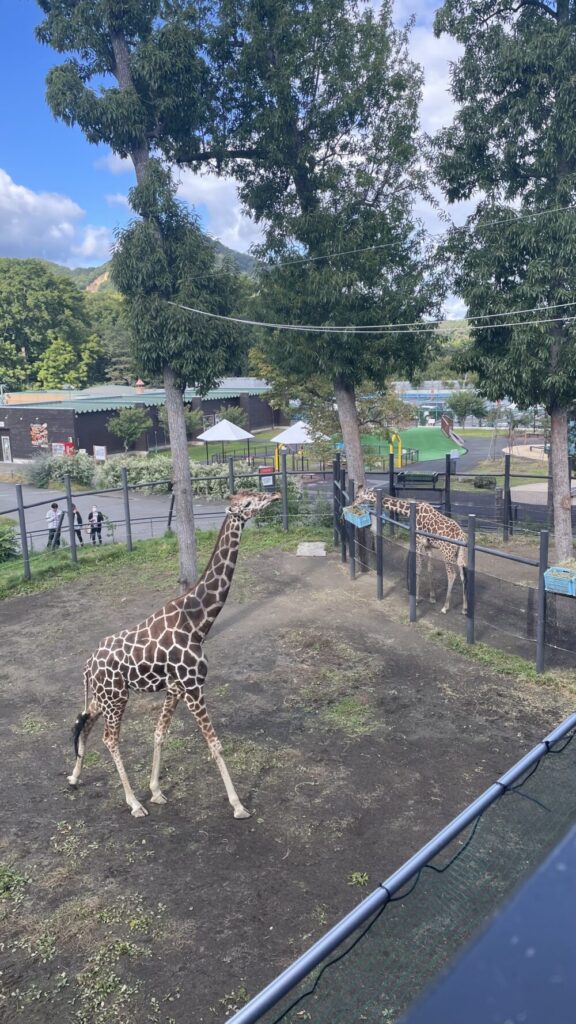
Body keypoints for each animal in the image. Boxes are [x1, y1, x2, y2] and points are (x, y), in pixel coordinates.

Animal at [68, 487, 278, 815]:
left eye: (256, 494)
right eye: (247, 503)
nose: (276, 495)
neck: (198, 622)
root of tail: (88, 664)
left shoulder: (175, 688)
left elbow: (159, 733)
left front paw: (155, 789)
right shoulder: (192, 686)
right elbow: (215, 744)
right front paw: (238, 805)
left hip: (104, 696)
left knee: (84, 722)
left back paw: (75, 777)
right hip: (117, 698)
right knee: (109, 739)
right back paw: (133, 802)